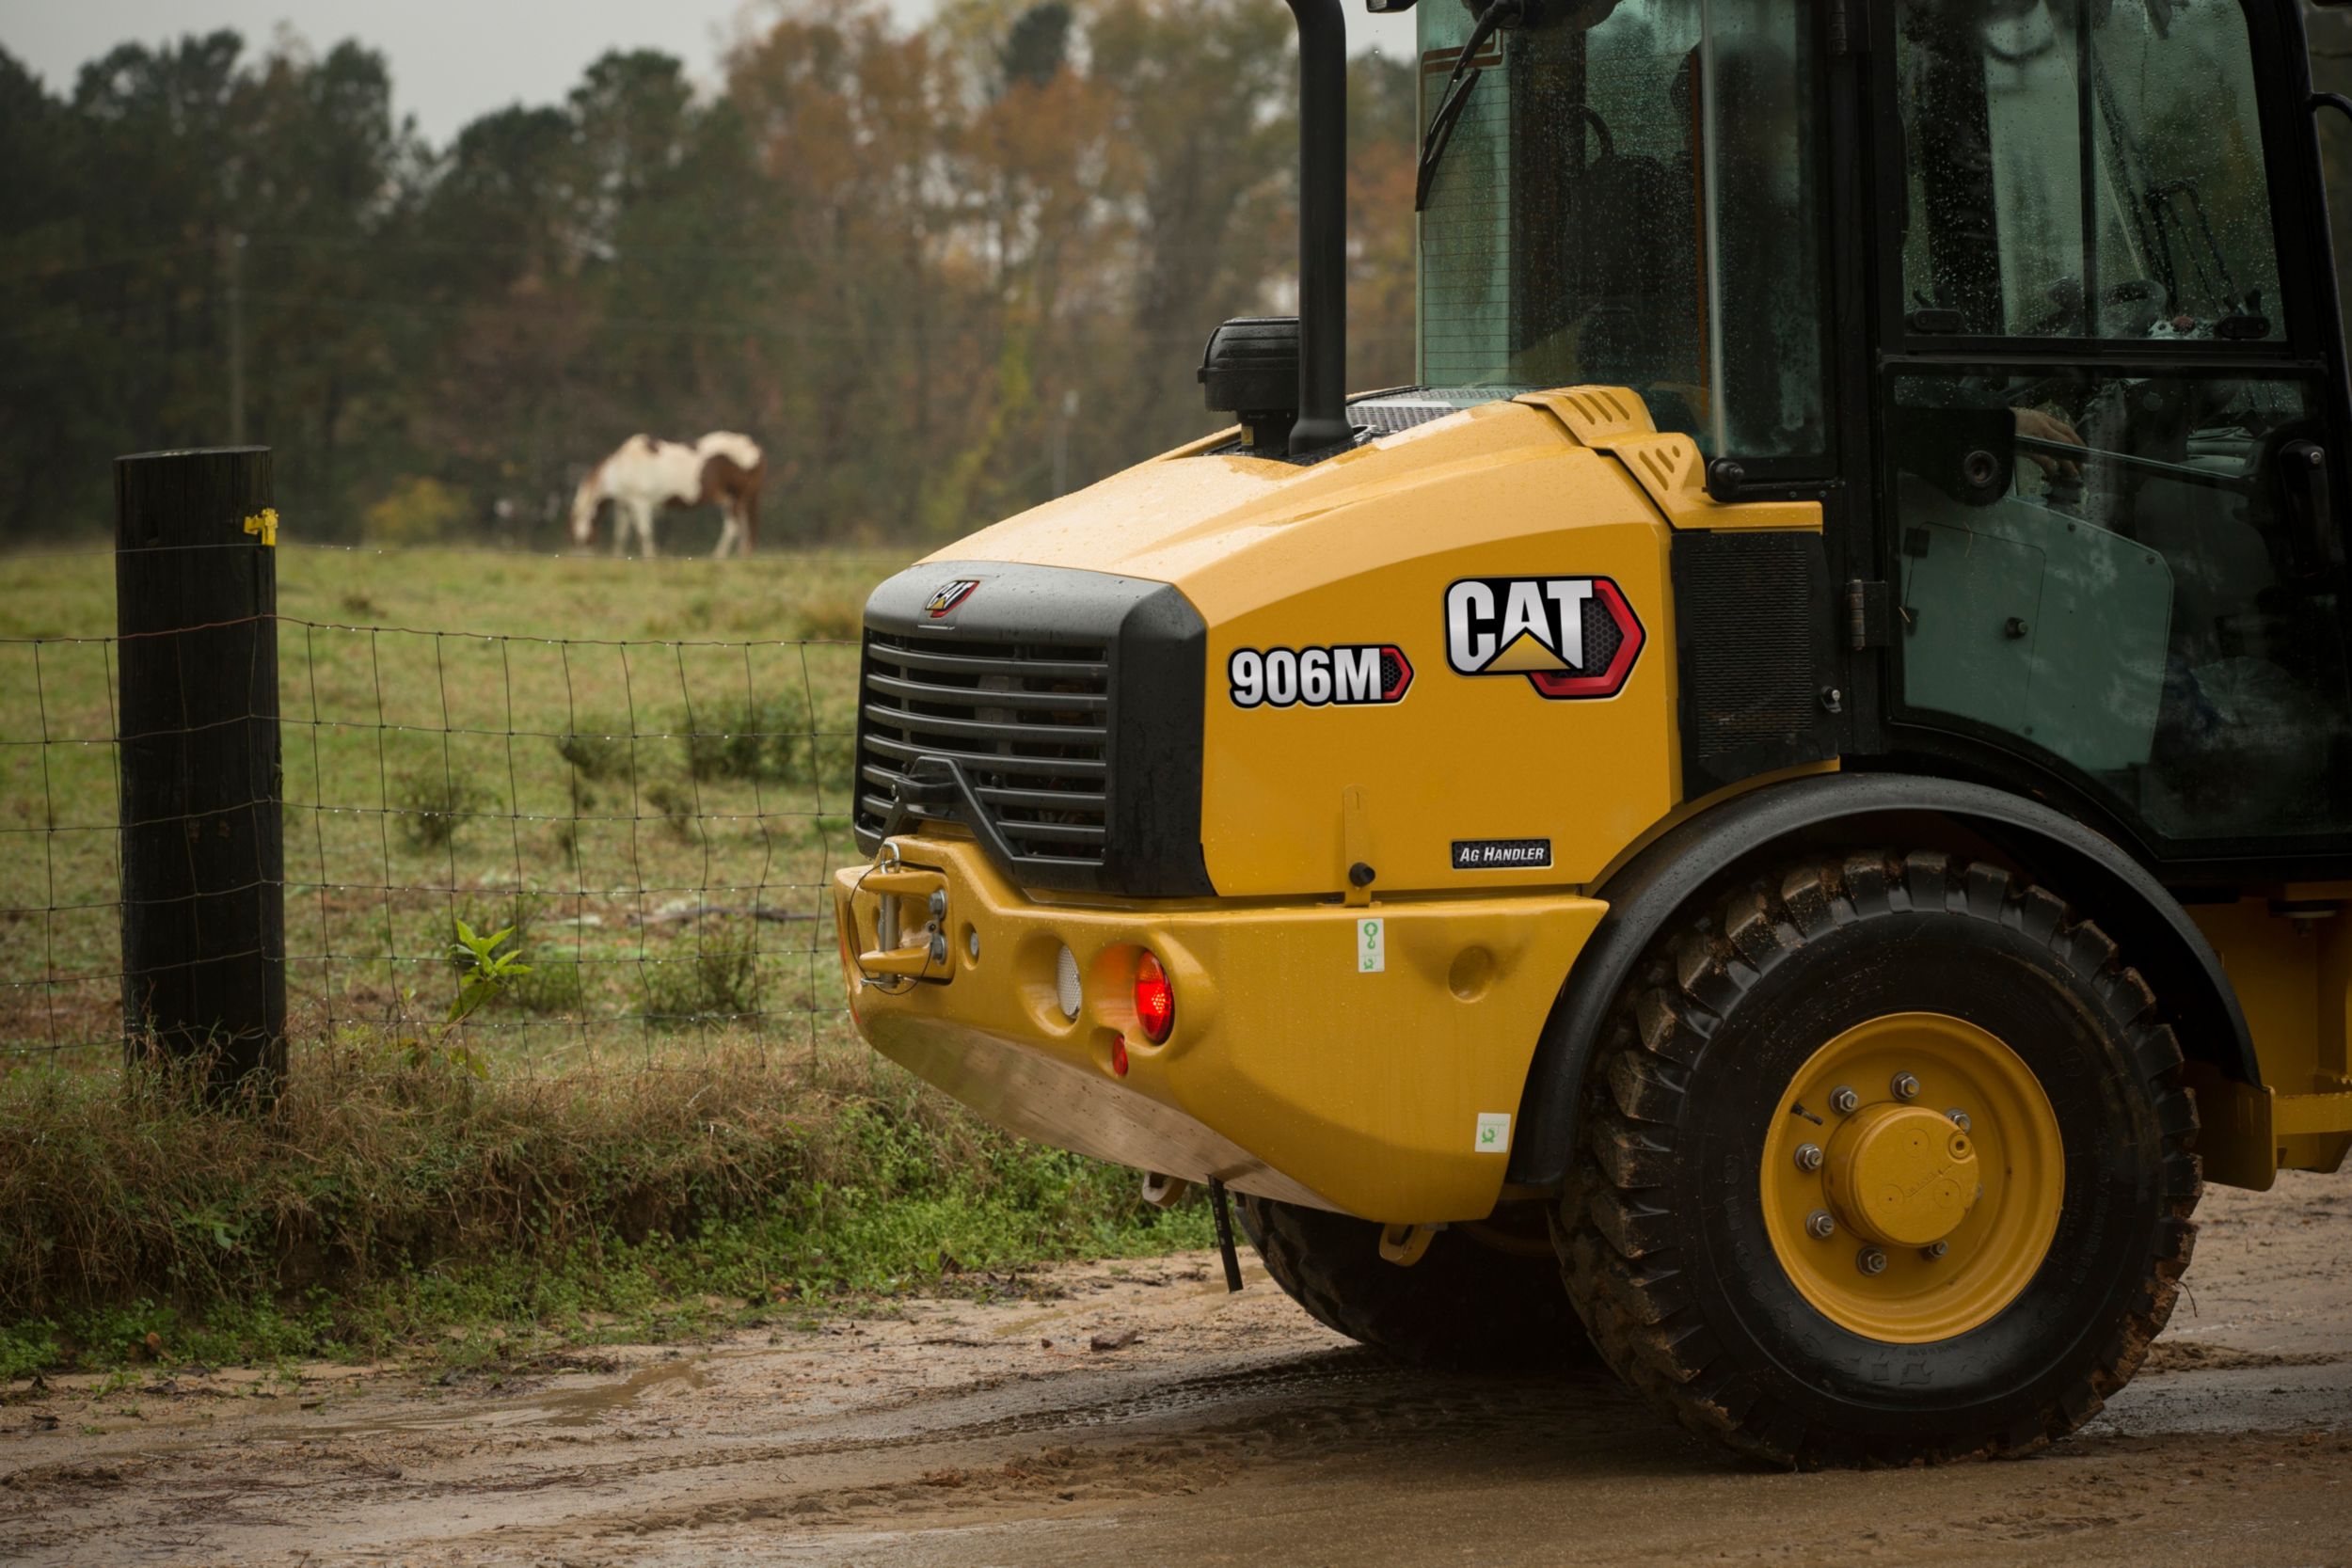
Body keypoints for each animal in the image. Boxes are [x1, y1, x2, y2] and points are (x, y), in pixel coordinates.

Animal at [569, 432, 762, 562]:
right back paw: (741, 556)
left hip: (736, 499)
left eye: (582, 539)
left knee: (733, 527)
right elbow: (621, 534)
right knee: (743, 528)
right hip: (735, 500)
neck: (622, 469)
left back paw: (718, 555)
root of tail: (753, 448)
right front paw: (617, 557)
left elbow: (644, 532)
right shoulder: (624, 506)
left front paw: (649, 557)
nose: (583, 559)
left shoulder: (641, 503)